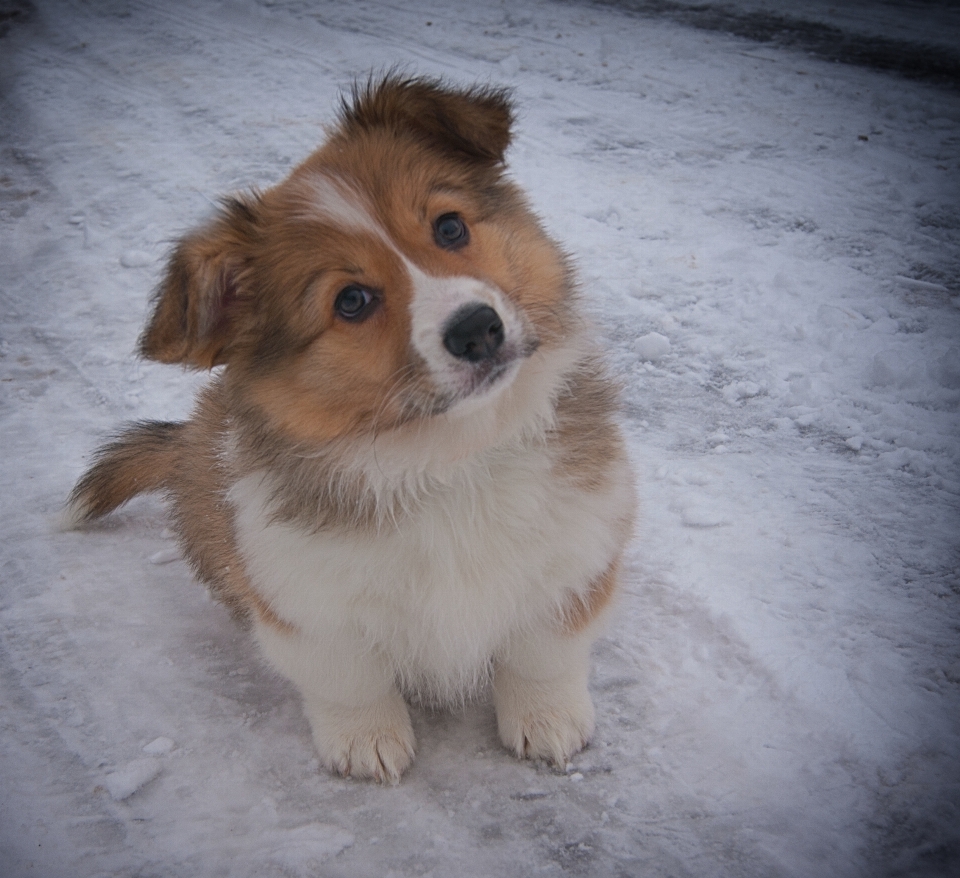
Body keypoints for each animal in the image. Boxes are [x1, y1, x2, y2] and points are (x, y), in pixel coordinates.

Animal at [69, 75, 636, 784]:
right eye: (352, 301)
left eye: (450, 227)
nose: (478, 329)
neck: (450, 455)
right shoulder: (310, 608)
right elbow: (351, 681)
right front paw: (366, 741)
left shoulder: (573, 558)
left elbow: (541, 654)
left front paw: (547, 719)